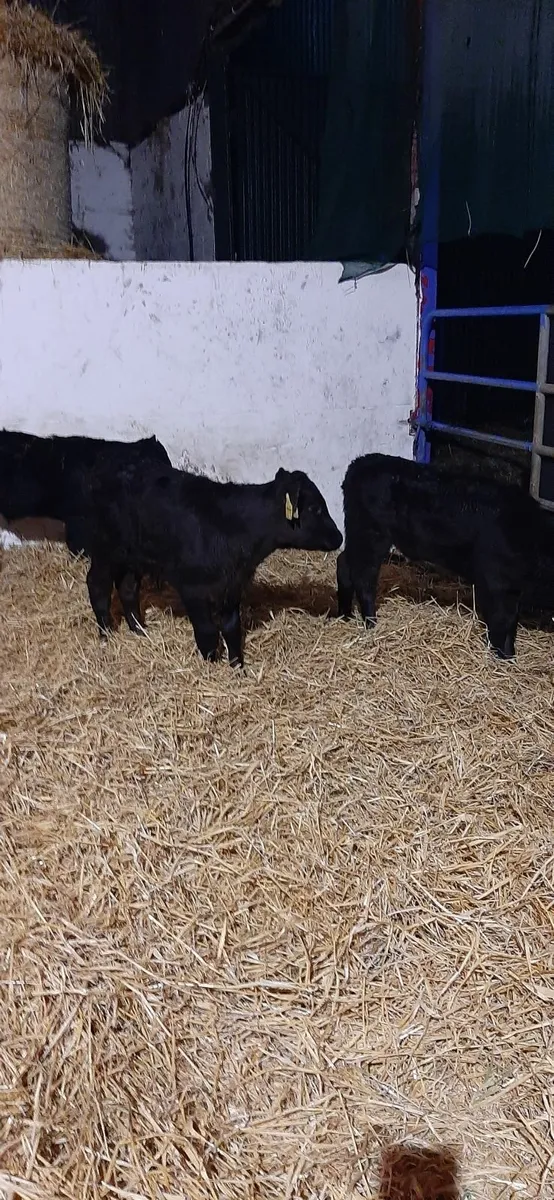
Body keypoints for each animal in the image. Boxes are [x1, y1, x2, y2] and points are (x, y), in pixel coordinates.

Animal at [74, 458, 342, 666]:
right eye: (316, 509)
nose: (340, 537)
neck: (235, 529)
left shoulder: (233, 585)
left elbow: (232, 628)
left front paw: (237, 668)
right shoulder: (193, 588)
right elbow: (207, 631)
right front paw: (211, 666)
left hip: (133, 557)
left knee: (128, 588)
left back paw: (140, 630)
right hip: (105, 551)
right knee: (97, 585)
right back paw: (106, 634)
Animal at [337, 452, 553, 659]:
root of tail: (358, 464)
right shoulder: (497, 584)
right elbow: (503, 621)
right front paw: (506, 658)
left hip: (359, 534)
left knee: (344, 564)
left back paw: (345, 615)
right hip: (371, 534)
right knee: (363, 577)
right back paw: (372, 624)